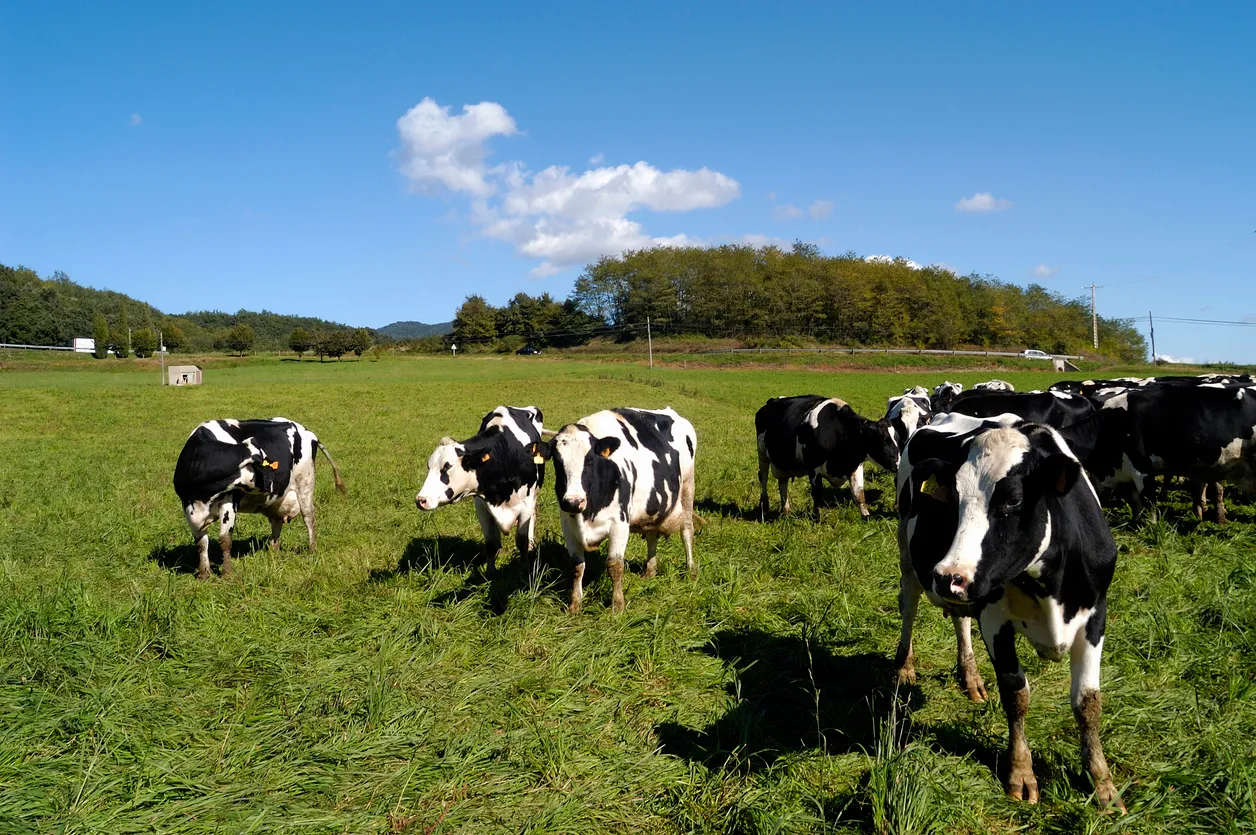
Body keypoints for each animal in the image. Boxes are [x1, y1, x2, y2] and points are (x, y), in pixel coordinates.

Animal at [173, 418, 345, 580]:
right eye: (260, 465)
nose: (273, 483)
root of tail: (306, 430)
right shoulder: (187, 507)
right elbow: (201, 543)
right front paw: (203, 574)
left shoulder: (229, 501)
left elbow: (225, 540)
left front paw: (227, 574)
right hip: (279, 500)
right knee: (277, 522)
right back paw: (273, 552)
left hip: (305, 482)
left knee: (309, 517)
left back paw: (312, 549)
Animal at [415, 406, 549, 575]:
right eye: (428, 466)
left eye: (447, 467)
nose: (420, 500)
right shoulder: (481, 504)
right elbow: (491, 542)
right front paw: (490, 573)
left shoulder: (526, 503)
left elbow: (521, 541)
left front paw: (525, 570)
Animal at [549, 407, 697, 613]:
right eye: (556, 461)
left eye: (590, 460)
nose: (573, 501)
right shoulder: (567, 524)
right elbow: (576, 566)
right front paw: (575, 604)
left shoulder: (619, 522)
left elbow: (615, 565)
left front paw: (618, 605)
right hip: (653, 506)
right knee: (652, 535)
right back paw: (650, 571)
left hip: (688, 487)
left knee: (687, 530)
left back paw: (690, 569)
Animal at [756, 395, 899, 521]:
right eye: (884, 441)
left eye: (898, 439)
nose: (897, 464)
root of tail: (771, 401)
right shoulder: (813, 468)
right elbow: (817, 493)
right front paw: (816, 518)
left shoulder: (855, 465)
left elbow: (859, 494)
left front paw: (866, 516)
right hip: (762, 455)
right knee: (763, 478)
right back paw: (764, 506)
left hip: (783, 463)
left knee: (782, 483)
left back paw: (785, 510)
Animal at [893, 412, 1124, 811]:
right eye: (953, 499)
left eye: (1013, 500)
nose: (947, 576)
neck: (1049, 586)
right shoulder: (994, 618)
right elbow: (1016, 694)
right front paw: (1021, 773)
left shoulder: (1095, 615)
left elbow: (1087, 702)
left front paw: (1102, 783)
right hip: (908, 555)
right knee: (909, 606)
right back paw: (904, 666)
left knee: (960, 618)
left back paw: (970, 676)